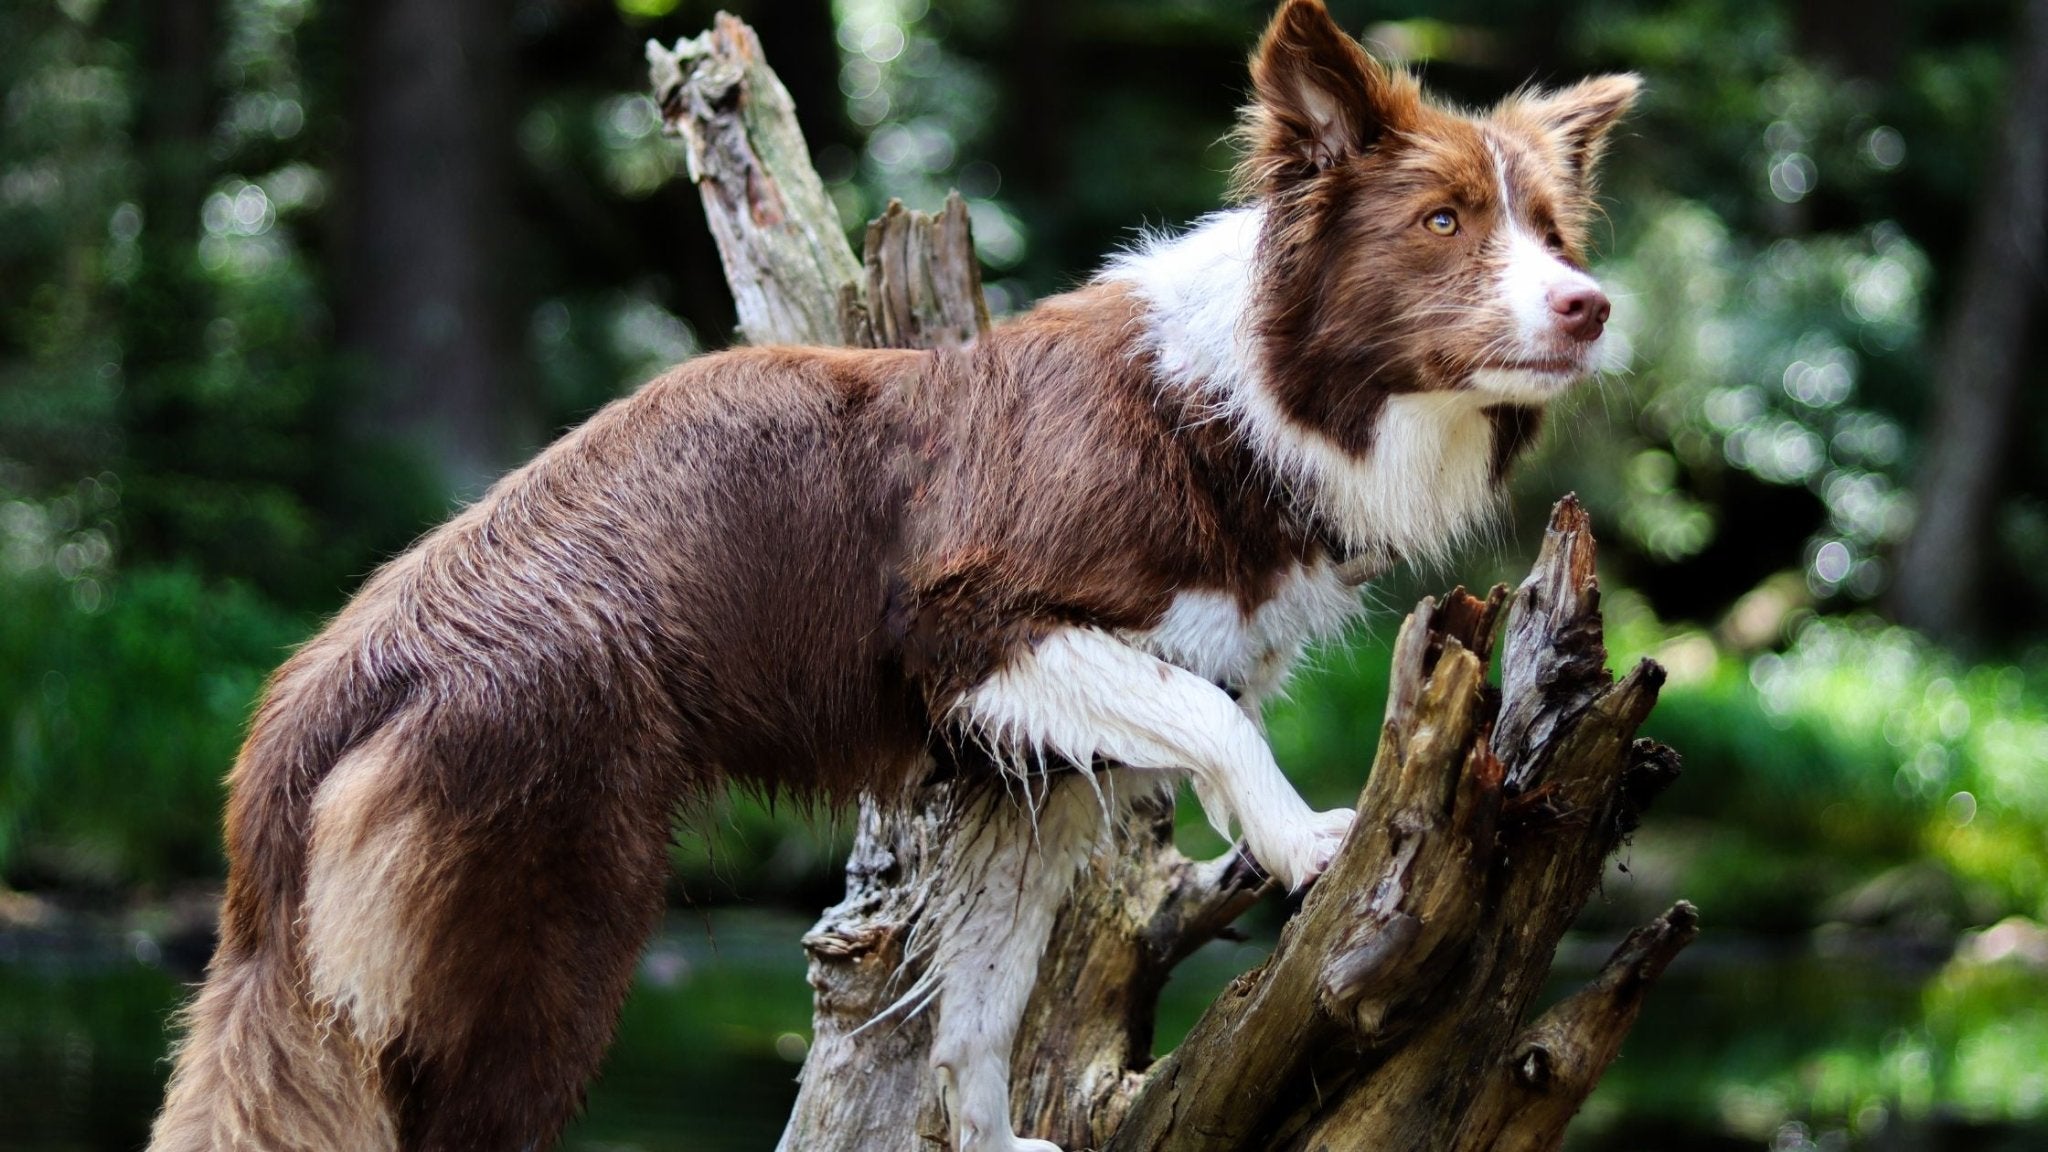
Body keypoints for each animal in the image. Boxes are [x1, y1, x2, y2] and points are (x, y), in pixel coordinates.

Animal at [151, 4, 1638, 1139]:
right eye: (1442, 221)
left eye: (1555, 235)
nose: (1591, 307)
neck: (1232, 401)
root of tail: (312, 703)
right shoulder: (969, 625)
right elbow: (1215, 720)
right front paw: (1304, 840)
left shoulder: (1018, 772)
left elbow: (975, 1015)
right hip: (537, 939)